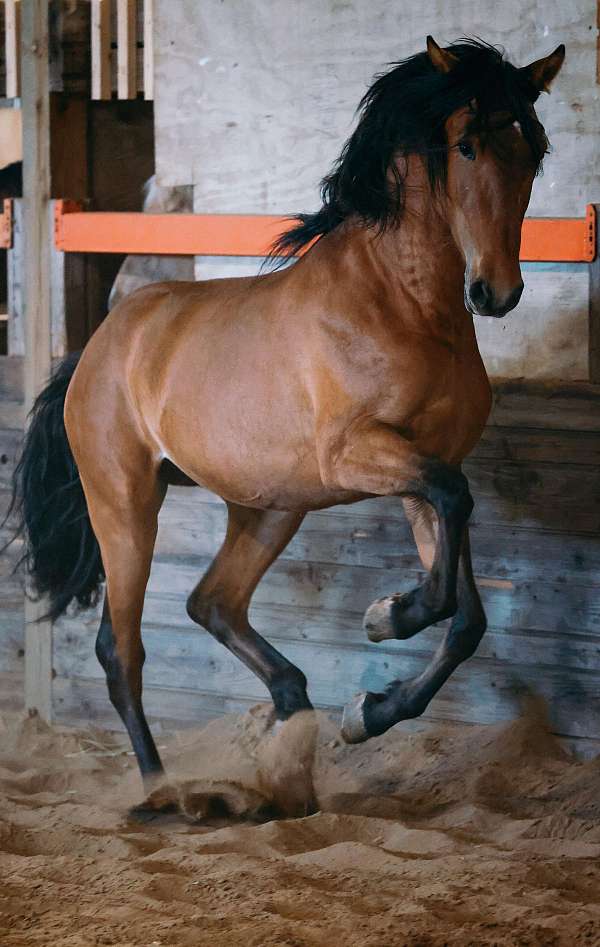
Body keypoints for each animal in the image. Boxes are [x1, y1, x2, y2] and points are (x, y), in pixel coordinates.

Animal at [11, 37, 564, 815]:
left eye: (533, 148)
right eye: (465, 144)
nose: (497, 292)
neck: (403, 305)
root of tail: (97, 347)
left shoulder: (422, 470)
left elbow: (466, 614)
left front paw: (369, 706)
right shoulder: (357, 455)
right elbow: (455, 539)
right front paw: (388, 616)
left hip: (270, 507)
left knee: (211, 602)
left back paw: (291, 721)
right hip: (124, 504)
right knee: (122, 652)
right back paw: (164, 791)